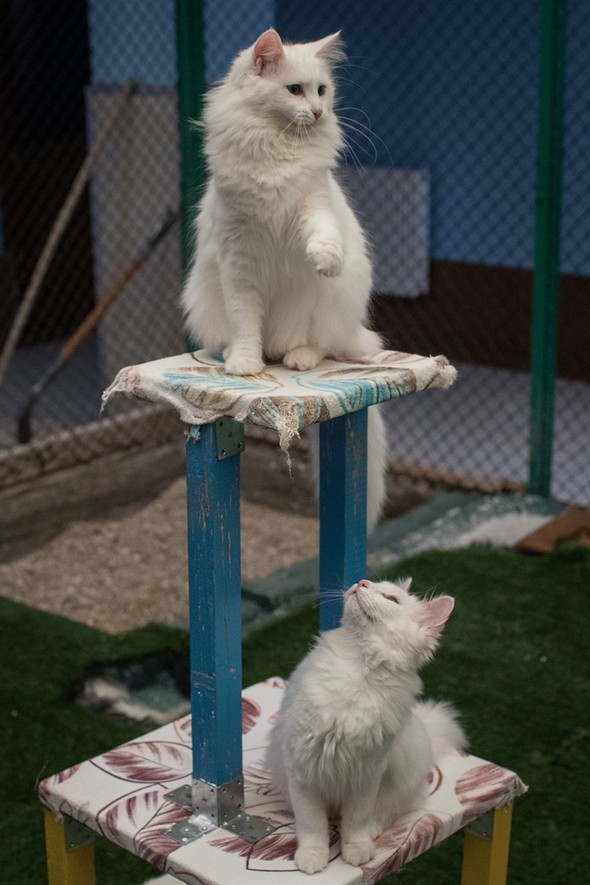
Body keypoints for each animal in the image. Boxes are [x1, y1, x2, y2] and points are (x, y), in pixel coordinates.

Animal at [183, 27, 390, 528]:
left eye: (322, 90)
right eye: (295, 90)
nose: (317, 112)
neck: (277, 149)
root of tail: (356, 331)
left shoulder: (311, 211)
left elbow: (320, 237)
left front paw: (325, 259)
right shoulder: (238, 261)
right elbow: (246, 325)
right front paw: (246, 363)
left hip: (333, 310)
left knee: (318, 344)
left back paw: (296, 358)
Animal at [268, 576, 468, 872]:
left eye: (391, 599)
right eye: (372, 582)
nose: (361, 582)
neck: (357, 667)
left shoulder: (367, 773)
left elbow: (356, 821)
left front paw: (356, 848)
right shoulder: (302, 766)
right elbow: (312, 824)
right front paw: (313, 856)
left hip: (404, 781)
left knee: (387, 811)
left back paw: (373, 830)